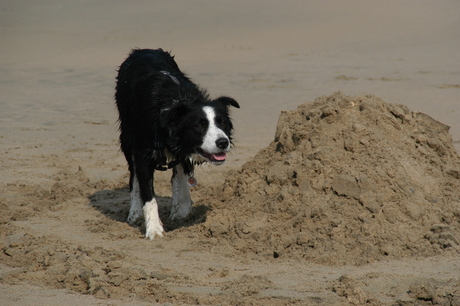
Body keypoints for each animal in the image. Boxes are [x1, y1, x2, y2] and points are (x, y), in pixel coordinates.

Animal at [114, 48, 241, 239]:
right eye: (198, 126)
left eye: (223, 122)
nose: (223, 142)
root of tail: (143, 50)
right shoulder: (142, 152)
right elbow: (148, 195)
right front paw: (154, 229)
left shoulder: (184, 149)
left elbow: (182, 178)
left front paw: (182, 211)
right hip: (127, 138)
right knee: (134, 178)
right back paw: (135, 213)